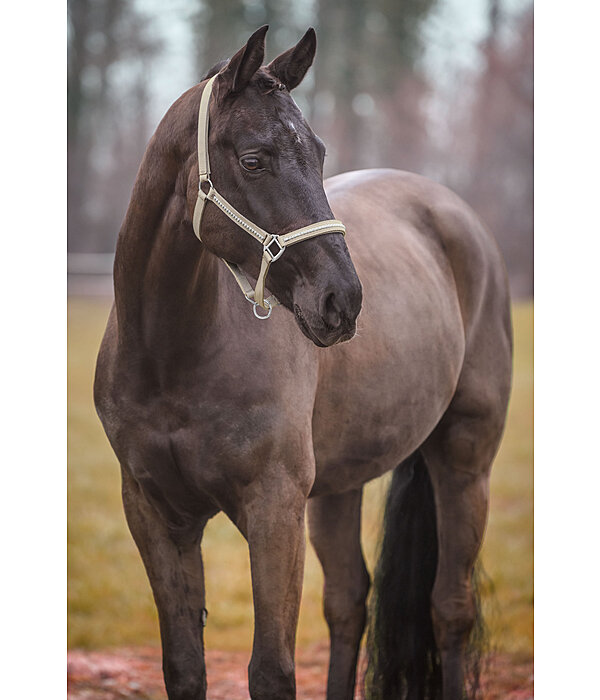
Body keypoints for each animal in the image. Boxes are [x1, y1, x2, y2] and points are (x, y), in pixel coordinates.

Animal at [94, 24, 510, 700]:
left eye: (317, 153)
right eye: (253, 159)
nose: (342, 300)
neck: (170, 357)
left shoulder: (274, 509)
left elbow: (272, 669)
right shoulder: (156, 514)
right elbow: (183, 666)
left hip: (464, 460)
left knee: (450, 608)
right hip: (338, 486)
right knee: (348, 603)